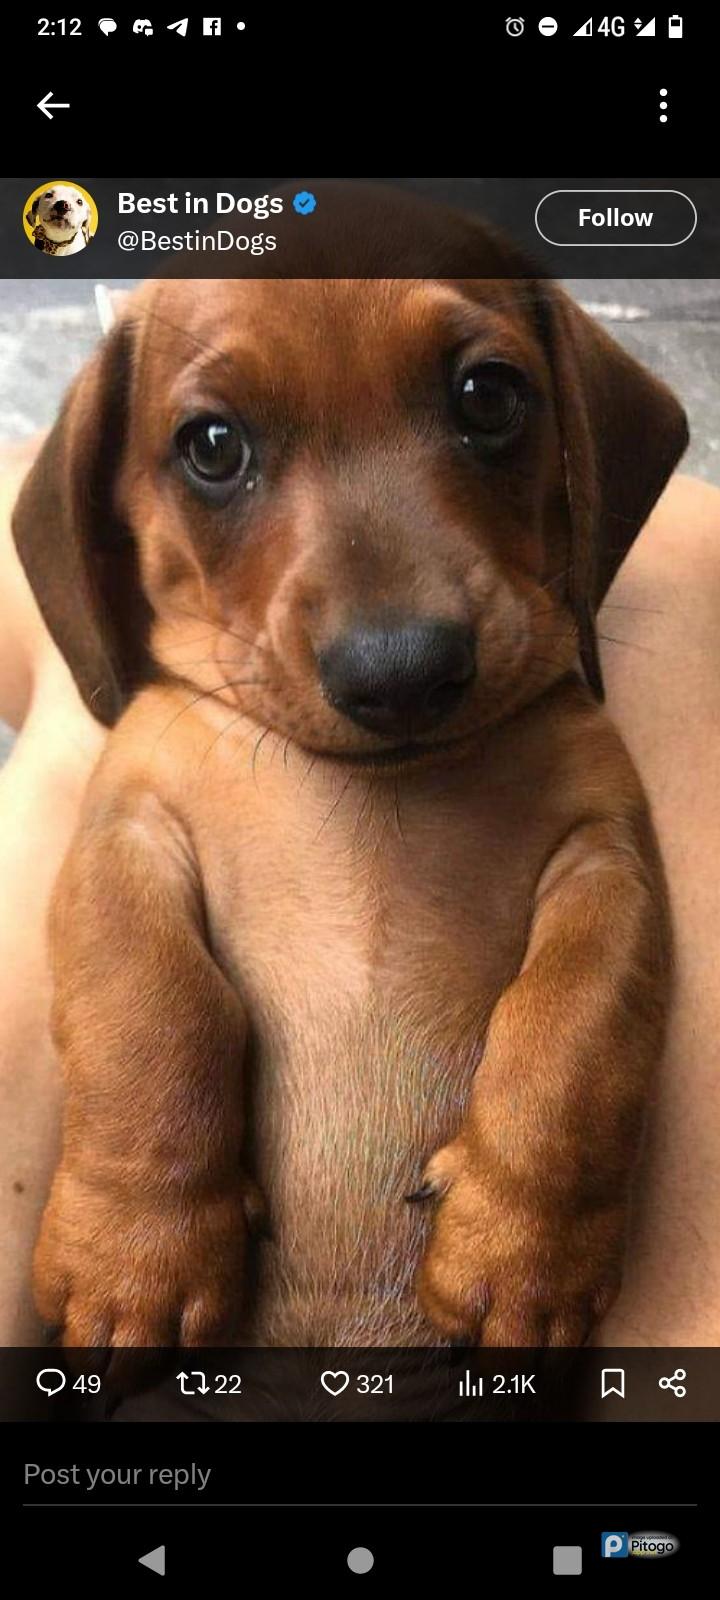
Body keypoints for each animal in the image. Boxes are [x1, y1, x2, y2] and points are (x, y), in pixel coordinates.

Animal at [12, 186, 688, 1351]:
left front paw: (522, 1249)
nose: (401, 673)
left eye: (488, 395)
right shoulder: (126, 834)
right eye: (212, 445)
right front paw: (134, 1246)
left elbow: (578, 1028)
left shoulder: (606, 855)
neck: (376, 785)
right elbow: (154, 1003)